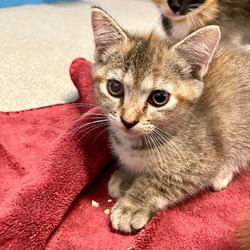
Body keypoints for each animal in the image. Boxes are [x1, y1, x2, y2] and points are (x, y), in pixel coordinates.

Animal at [90, 7, 250, 232]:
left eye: (159, 98)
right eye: (115, 87)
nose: (127, 120)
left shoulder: (202, 160)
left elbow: (159, 182)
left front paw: (132, 205)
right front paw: (125, 175)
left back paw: (223, 173)